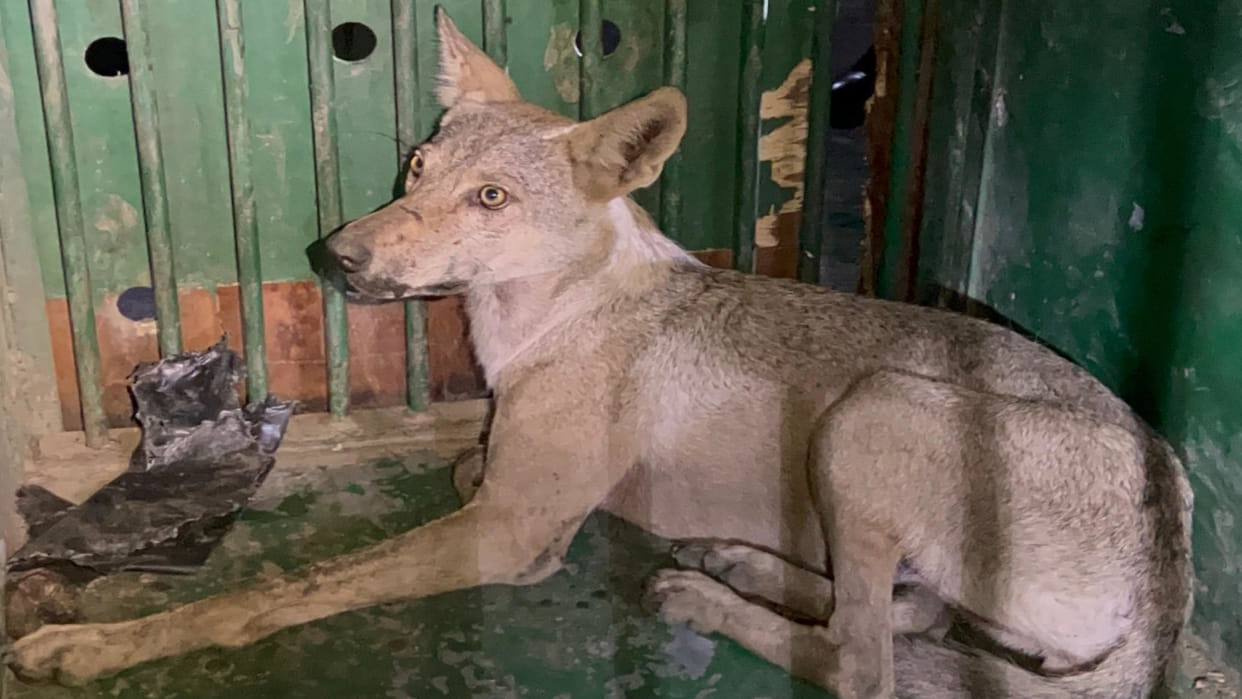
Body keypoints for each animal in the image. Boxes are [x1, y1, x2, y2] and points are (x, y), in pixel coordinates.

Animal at [8, 9, 1192, 698]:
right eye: (417, 167)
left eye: (490, 198)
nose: (331, 256)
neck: (547, 318)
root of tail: (1175, 549)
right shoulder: (498, 482)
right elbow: (464, 460)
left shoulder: (511, 533)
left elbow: (279, 592)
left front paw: (94, 646)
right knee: (910, 614)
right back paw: (741, 561)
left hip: (873, 411)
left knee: (869, 663)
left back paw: (712, 598)